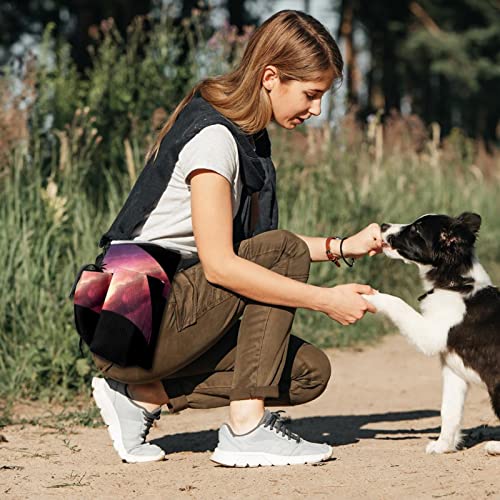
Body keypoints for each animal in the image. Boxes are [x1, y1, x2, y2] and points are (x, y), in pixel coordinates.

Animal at [364, 213, 500, 456]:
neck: (454, 283)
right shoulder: (453, 369)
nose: (383, 225)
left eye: (416, 230)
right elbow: (449, 411)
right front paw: (443, 446)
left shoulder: (431, 336)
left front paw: (366, 296)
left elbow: (397, 302)